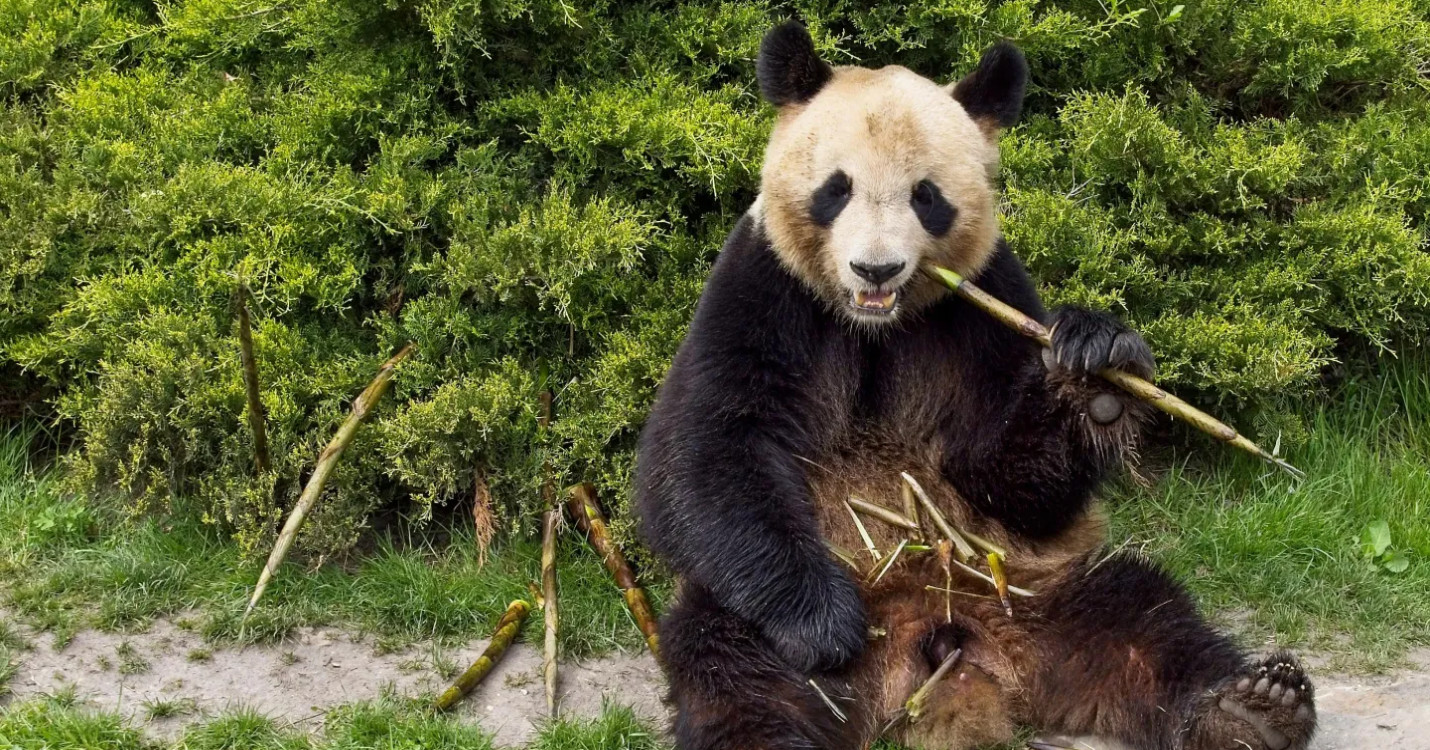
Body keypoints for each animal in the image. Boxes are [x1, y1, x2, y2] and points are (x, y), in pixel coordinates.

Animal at [637, 20, 1315, 750]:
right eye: (837, 189)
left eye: (925, 196)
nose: (875, 269)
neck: (875, 327)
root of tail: (939, 649)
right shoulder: (763, 288)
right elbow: (706, 450)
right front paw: (825, 622)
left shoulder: (986, 301)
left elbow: (1004, 474)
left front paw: (1096, 374)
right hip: (752, 622)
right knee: (736, 671)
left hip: (1038, 588)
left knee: (1147, 619)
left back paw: (1252, 707)